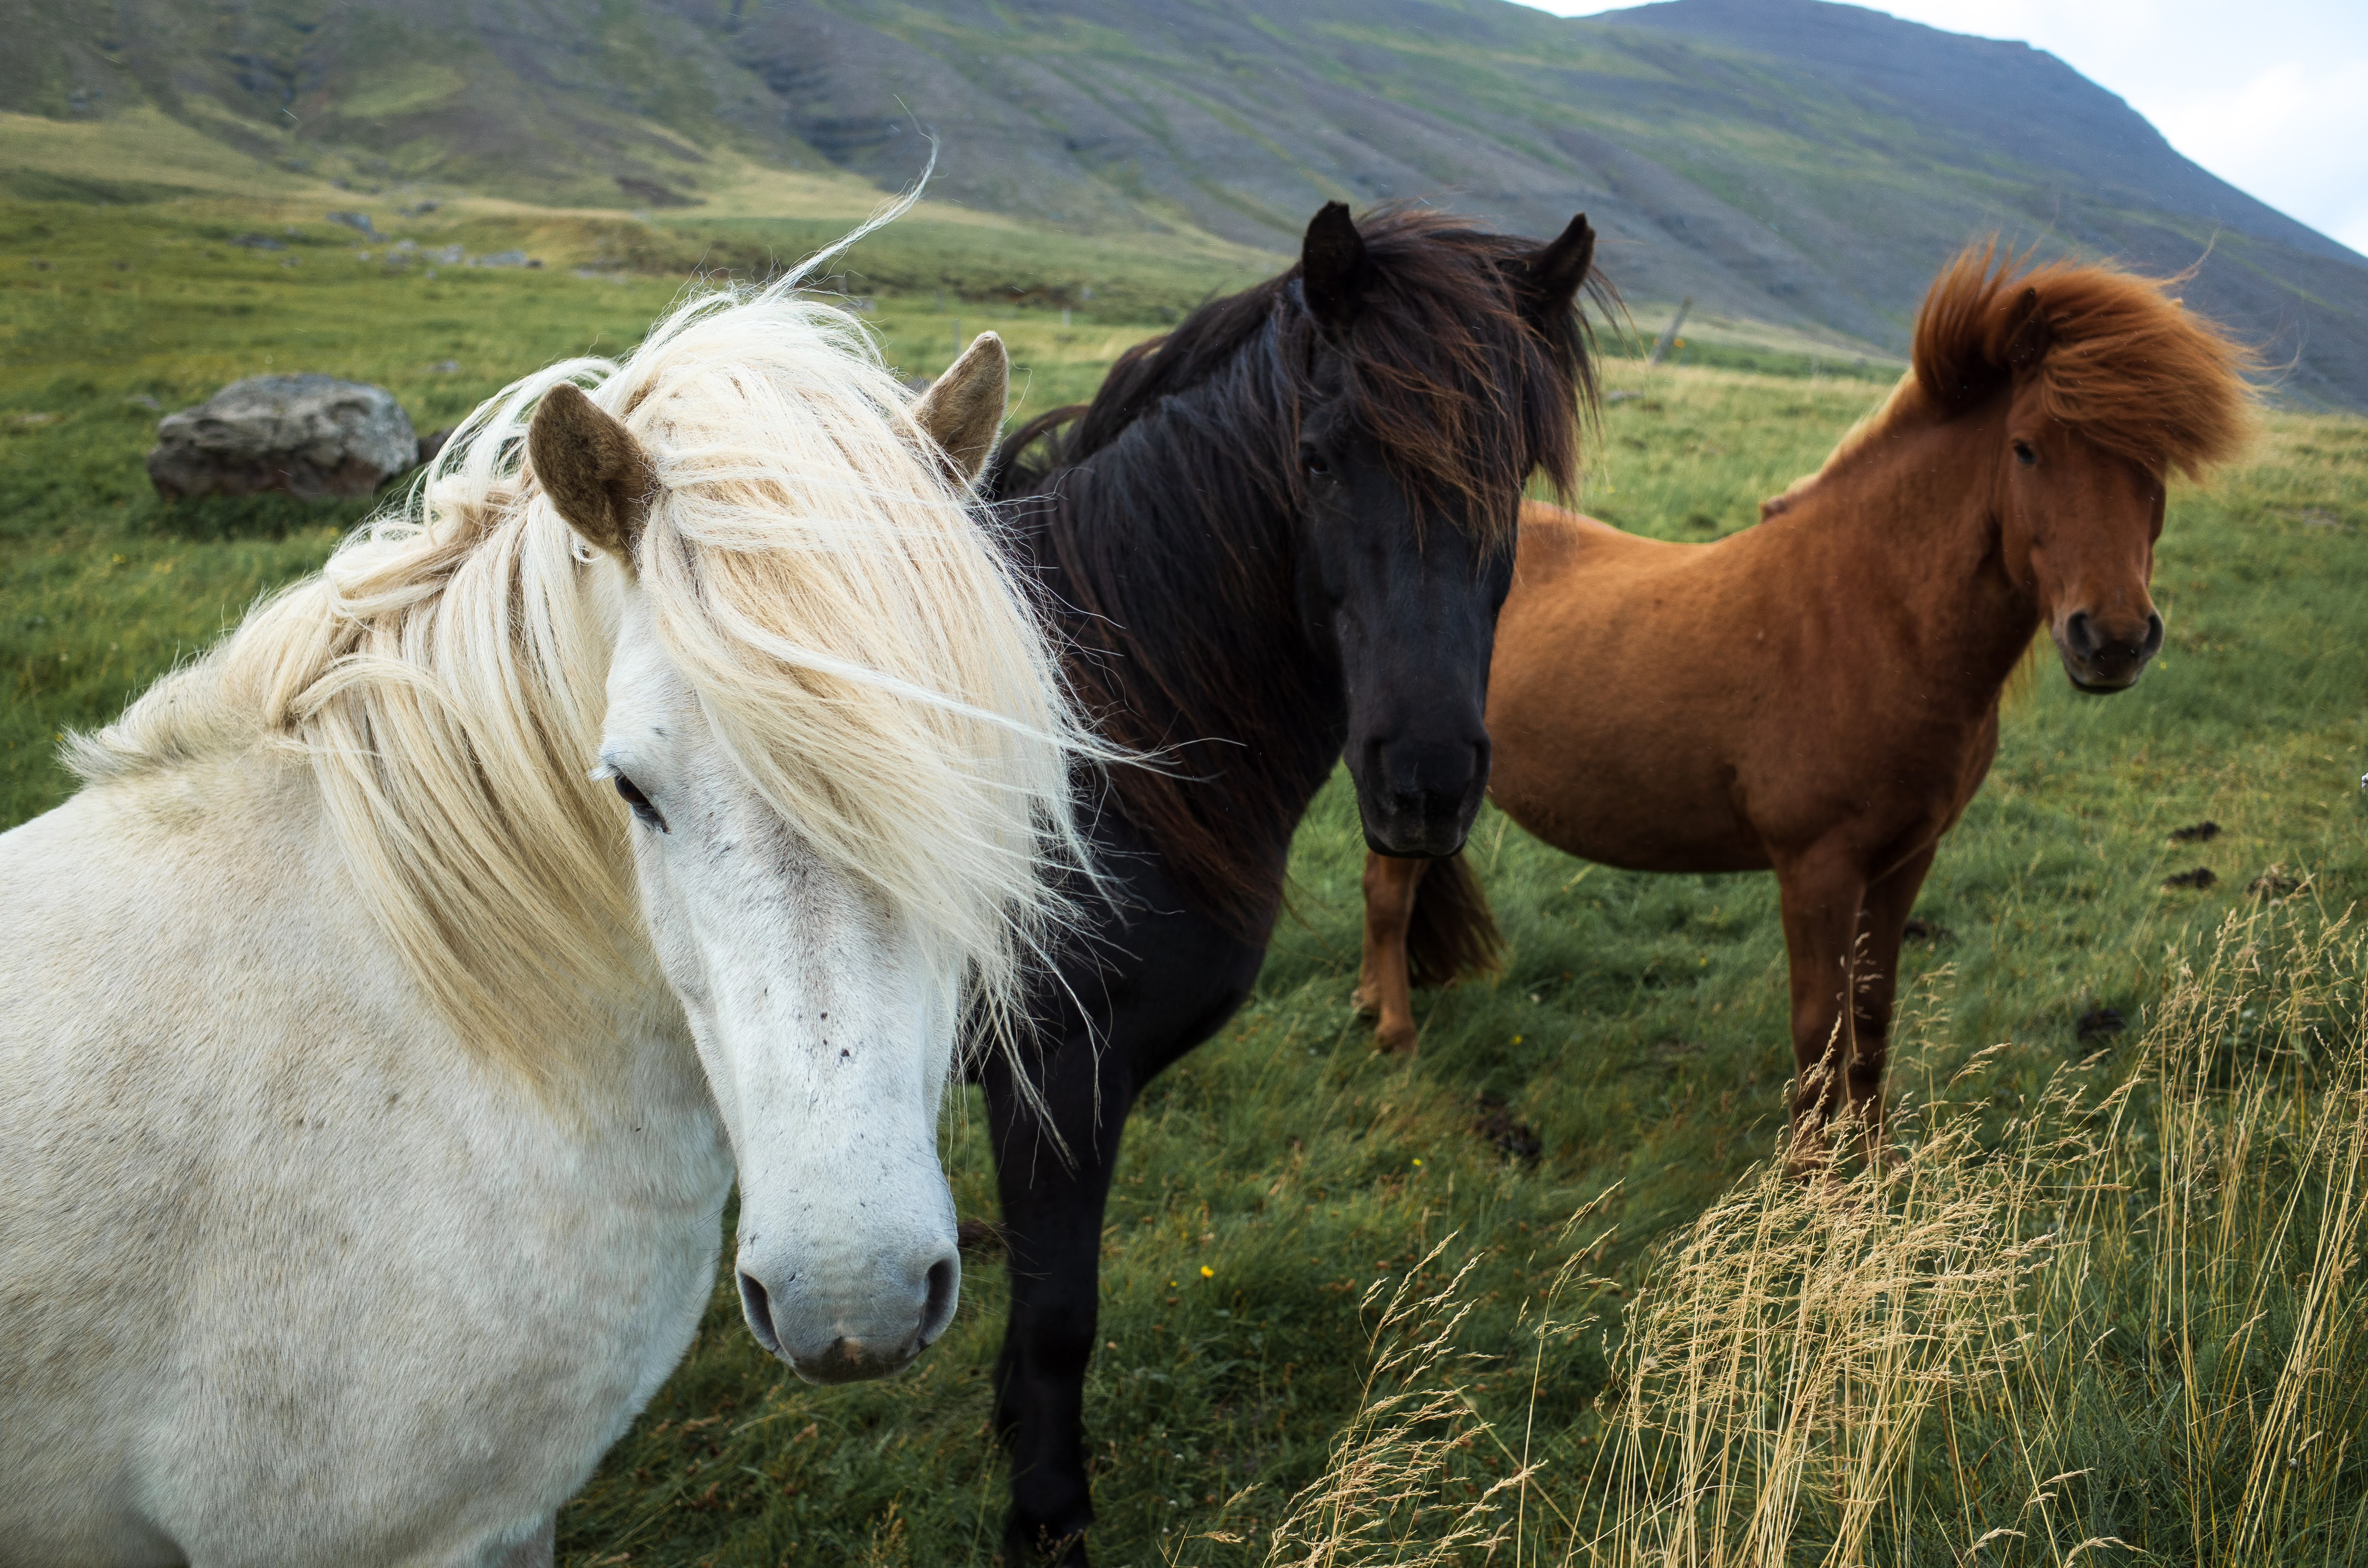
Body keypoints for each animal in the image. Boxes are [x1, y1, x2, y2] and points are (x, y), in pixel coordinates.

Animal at [971, 202, 1601, 1563]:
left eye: (1513, 476)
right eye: (1315, 461)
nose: (1425, 779)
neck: (1090, 737)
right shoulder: (1056, 1070)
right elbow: (1058, 1315)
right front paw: (1049, 1514)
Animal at [1364, 243, 2245, 1156]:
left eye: (2155, 463)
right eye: (2027, 449)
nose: (2112, 639)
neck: (1874, 619)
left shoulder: (1905, 859)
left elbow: (1871, 1018)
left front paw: (1871, 1166)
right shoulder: (1817, 868)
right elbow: (1818, 1034)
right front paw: (1811, 1176)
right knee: (1389, 894)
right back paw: (1396, 1036)